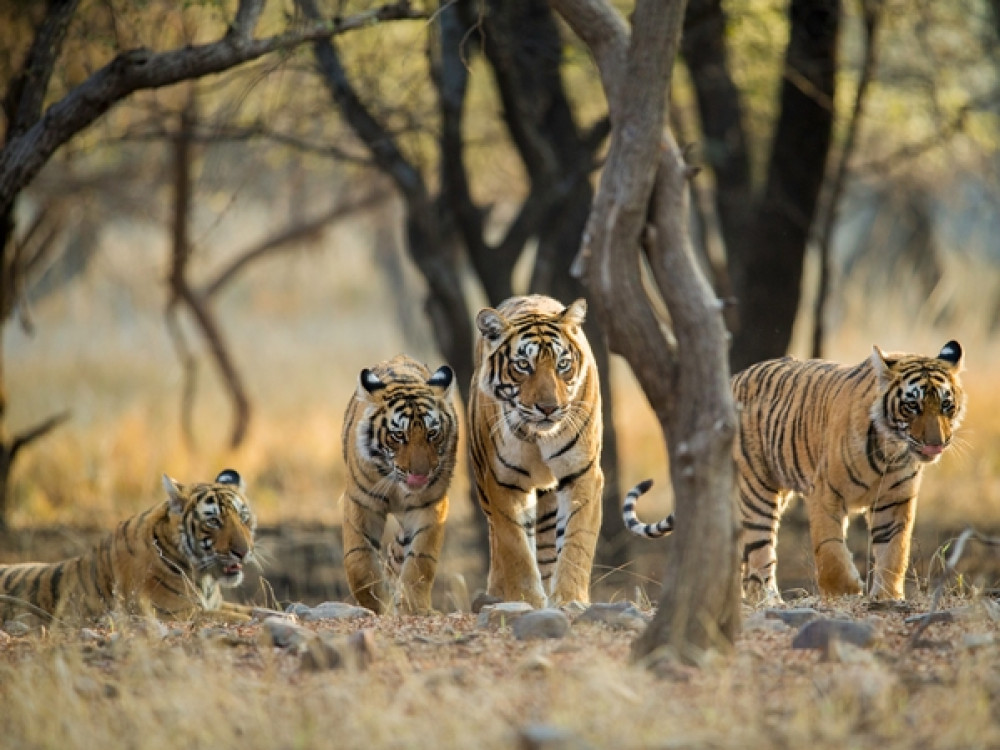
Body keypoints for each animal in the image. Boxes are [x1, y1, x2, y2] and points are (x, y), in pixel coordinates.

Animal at [0, 472, 262, 624]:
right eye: (214, 521)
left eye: (244, 517)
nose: (243, 552)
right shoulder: (177, 613)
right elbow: (240, 617)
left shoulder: (214, 604)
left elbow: (259, 610)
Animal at [340, 356, 458, 612]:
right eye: (398, 435)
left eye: (432, 433)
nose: (420, 475)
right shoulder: (361, 502)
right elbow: (359, 562)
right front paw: (378, 606)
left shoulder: (429, 505)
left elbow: (420, 560)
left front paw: (413, 607)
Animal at [472, 296, 604, 612]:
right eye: (523, 365)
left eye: (562, 365)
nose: (549, 408)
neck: (538, 437)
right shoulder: (504, 482)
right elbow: (516, 548)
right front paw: (526, 600)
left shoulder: (582, 474)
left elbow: (576, 541)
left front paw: (569, 599)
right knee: (499, 541)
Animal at [620, 344, 964, 608]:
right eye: (912, 406)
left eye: (946, 405)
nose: (936, 443)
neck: (891, 451)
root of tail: (731, 380)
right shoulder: (825, 493)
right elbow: (830, 549)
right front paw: (845, 591)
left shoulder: (895, 501)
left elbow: (894, 550)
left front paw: (887, 597)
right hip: (757, 492)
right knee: (759, 556)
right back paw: (768, 601)